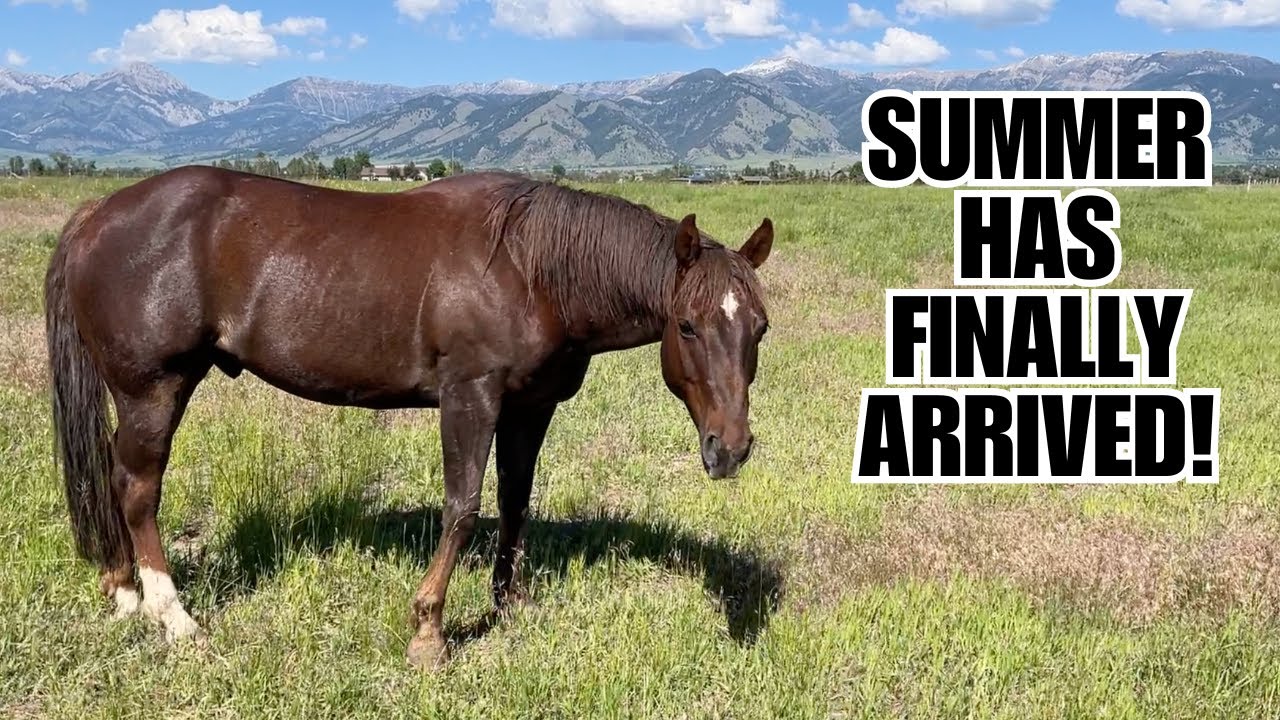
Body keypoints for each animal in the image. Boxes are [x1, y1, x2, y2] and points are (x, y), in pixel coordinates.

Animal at [44, 166, 772, 669]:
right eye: (687, 324)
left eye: (760, 327)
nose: (730, 448)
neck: (531, 270)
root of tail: (98, 213)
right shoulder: (470, 396)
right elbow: (463, 506)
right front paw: (428, 630)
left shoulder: (529, 407)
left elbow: (514, 500)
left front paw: (511, 601)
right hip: (154, 389)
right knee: (137, 490)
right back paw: (174, 616)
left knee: (112, 477)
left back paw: (123, 591)